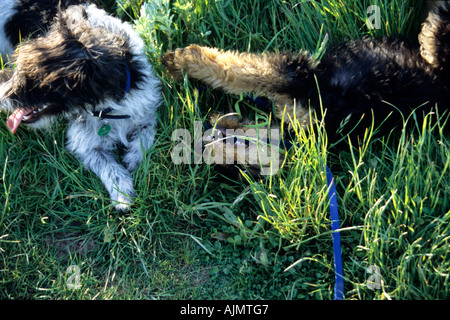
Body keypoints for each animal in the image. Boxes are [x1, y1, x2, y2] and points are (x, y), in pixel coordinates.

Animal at [0, 0, 162, 211]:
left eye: (33, 81)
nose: (1, 96)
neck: (110, 108)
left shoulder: (146, 109)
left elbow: (146, 133)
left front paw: (133, 157)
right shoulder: (87, 146)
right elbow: (109, 167)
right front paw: (122, 195)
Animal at [164, 0, 450, 175]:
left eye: (235, 159)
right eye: (233, 167)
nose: (202, 139)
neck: (293, 133)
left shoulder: (295, 76)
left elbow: (236, 71)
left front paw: (181, 61)